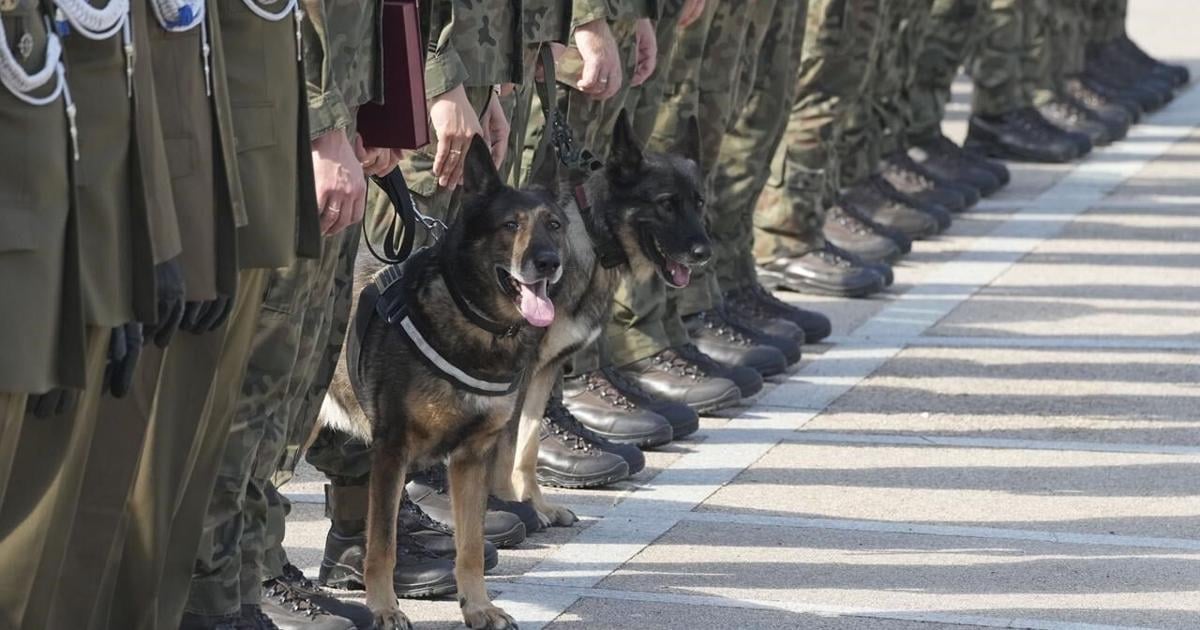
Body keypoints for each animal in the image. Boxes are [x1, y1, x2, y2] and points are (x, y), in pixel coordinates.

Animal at [321, 133, 568, 628]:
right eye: (509, 225)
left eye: (553, 224)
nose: (548, 262)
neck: (473, 318)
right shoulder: (391, 451)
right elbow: (383, 544)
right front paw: (383, 607)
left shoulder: (471, 459)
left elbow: (470, 546)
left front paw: (478, 606)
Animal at [494, 110, 710, 528]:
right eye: (666, 204)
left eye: (699, 202)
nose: (704, 253)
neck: (590, 236)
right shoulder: (514, 377)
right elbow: (506, 445)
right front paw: (509, 506)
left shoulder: (544, 372)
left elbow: (527, 444)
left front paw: (534, 503)